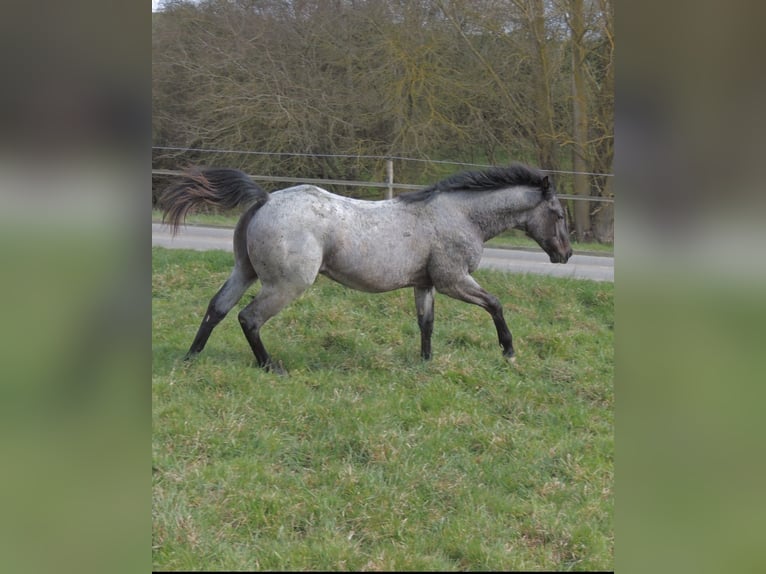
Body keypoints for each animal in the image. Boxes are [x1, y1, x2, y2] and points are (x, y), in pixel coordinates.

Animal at [158, 164, 572, 374]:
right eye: (558, 213)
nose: (566, 255)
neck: (460, 215)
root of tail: (265, 199)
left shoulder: (426, 284)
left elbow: (426, 323)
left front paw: (426, 363)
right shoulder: (454, 280)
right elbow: (495, 304)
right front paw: (509, 351)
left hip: (245, 272)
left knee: (217, 308)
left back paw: (190, 359)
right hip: (285, 285)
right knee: (249, 317)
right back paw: (270, 366)